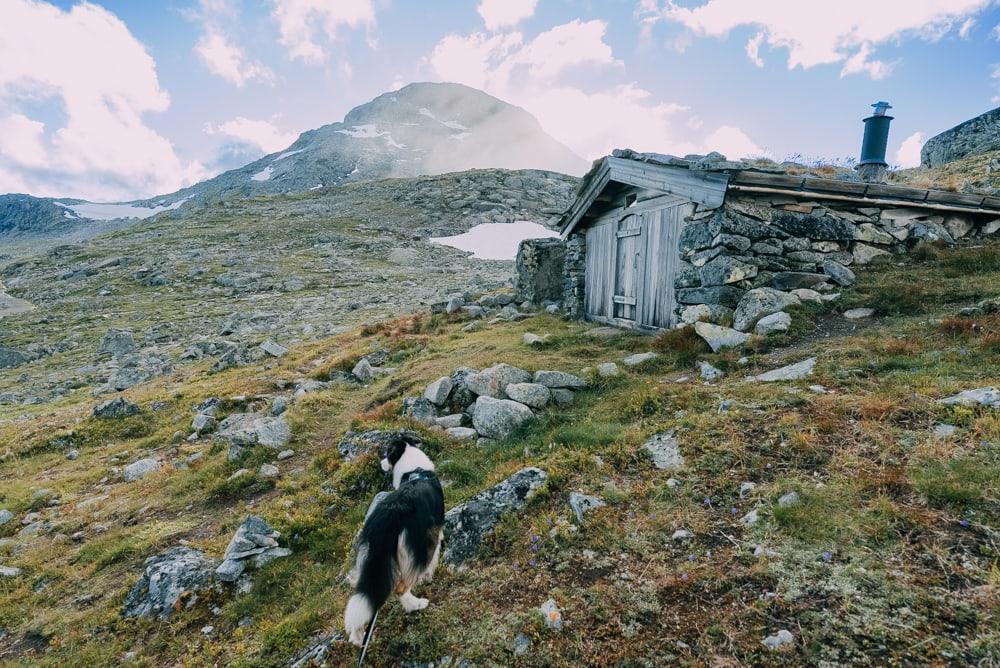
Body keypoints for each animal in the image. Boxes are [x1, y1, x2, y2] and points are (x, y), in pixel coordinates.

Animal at [344, 434, 442, 648]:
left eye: (387, 453)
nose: (380, 463)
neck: (414, 471)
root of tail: (389, 515)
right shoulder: (434, 532)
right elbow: (435, 556)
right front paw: (428, 576)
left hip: (370, 558)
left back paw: (358, 638)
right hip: (416, 547)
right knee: (400, 588)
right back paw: (417, 605)